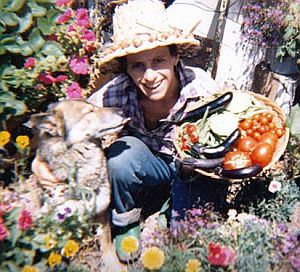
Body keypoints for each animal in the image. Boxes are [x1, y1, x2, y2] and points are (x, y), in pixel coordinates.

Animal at [28, 100, 129, 272]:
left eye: (95, 106)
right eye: (89, 112)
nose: (122, 110)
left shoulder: (102, 211)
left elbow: (107, 244)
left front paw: (114, 265)